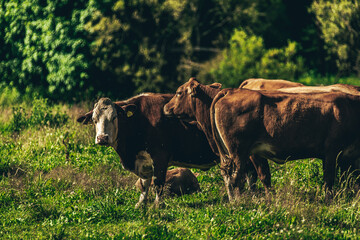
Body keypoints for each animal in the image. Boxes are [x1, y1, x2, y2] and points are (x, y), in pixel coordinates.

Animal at [76, 94, 219, 208]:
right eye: (94, 120)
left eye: (114, 117)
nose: (102, 138)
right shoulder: (144, 162)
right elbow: (144, 183)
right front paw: (141, 203)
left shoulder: (160, 157)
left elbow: (157, 183)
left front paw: (157, 205)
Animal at [165, 78, 360, 201]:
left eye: (178, 92)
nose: (166, 107)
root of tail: (230, 92)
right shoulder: (333, 153)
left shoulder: (338, 154)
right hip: (237, 152)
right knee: (234, 177)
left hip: (235, 154)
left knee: (232, 177)